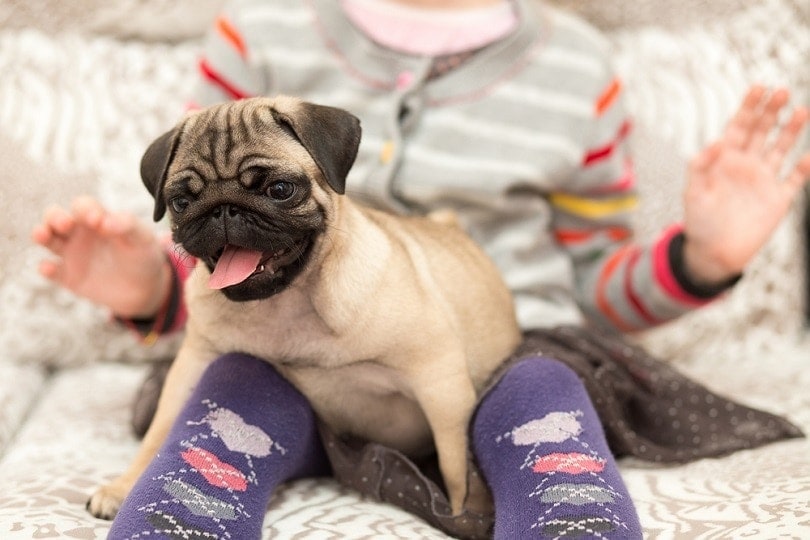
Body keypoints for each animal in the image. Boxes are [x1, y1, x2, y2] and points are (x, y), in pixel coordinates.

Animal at [87, 96, 516, 520]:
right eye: (180, 202)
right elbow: (158, 433)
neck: (285, 301)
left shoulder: (439, 379)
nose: (222, 209)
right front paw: (123, 487)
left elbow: (456, 465)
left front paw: (465, 514)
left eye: (280, 189)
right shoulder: (195, 364)